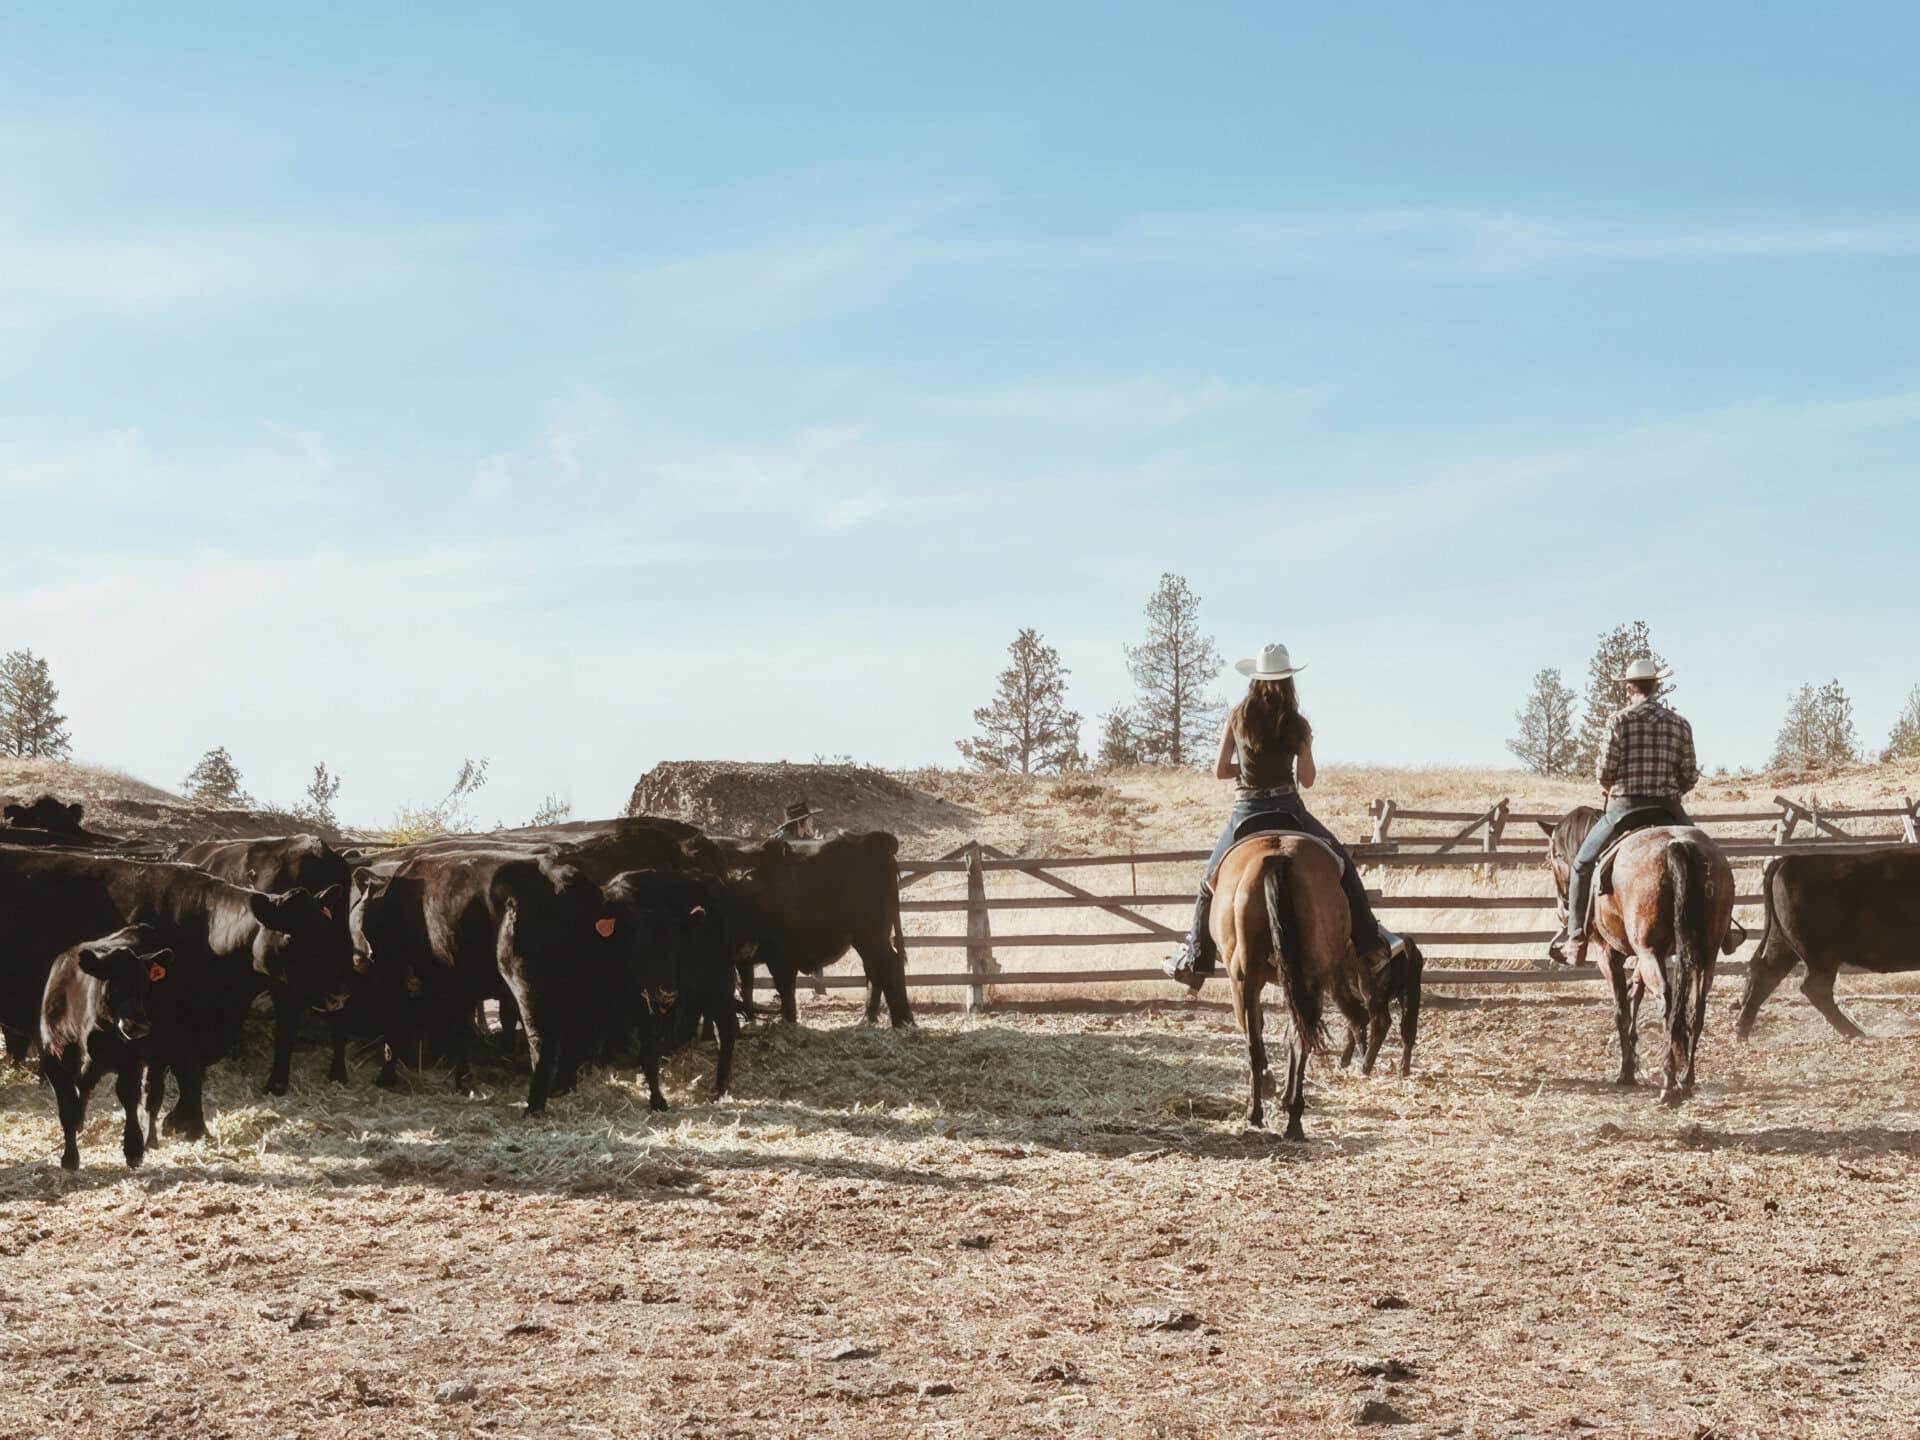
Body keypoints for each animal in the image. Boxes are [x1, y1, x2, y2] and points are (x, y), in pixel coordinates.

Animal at [39, 924, 176, 1169]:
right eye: (115, 984)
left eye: (145, 987)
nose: (139, 1026)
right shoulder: (52, 1057)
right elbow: (68, 1107)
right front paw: (70, 1157)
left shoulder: (132, 1058)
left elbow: (129, 1097)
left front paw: (134, 1149)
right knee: (84, 1086)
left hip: (159, 1051)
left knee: (153, 1096)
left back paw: (151, 1140)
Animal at [349, 850, 615, 1115]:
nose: (360, 958)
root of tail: (558, 877)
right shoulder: (457, 983)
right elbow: (458, 1032)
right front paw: (463, 1082)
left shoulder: (400, 975)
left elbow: (398, 1027)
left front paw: (385, 1077)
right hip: (580, 980)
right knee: (577, 1030)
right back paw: (562, 1088)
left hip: (524, 980)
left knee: (541, 1039)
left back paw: (534, 1106)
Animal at [1735, 848, 1920, 1040]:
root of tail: (1788, 860)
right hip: (1820, 956)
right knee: (1814, 987)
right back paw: (1855, 1032)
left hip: (1783, 944)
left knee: (1765, 974)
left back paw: (1742, 1031)